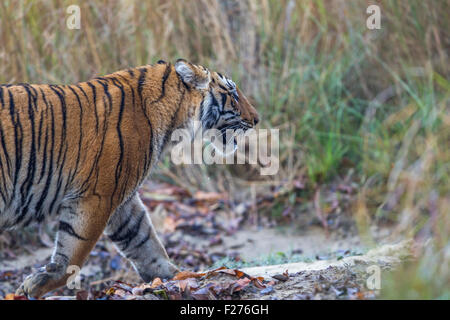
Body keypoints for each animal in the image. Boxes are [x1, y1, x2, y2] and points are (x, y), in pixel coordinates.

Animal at [0, 59, 258, 298]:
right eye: (233, 94)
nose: (257, 119)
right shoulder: (97, 196)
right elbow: (74, 250)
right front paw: (36, 284)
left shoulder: (122, 199)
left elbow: (144, 241)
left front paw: (177, 276)